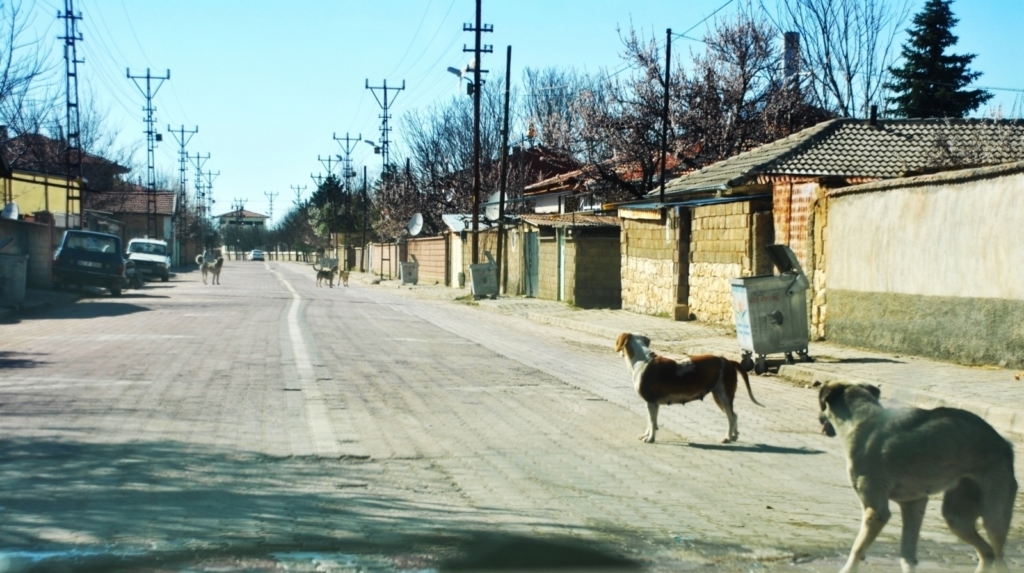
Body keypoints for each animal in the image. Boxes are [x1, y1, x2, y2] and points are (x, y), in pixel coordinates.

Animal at [614, 331, 761, 444]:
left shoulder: (651, 402)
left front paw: (650, 439)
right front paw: (646, 435)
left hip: (724, 396)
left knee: (731, 418)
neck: (642, 360)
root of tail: (729, 361)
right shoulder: (652, 404)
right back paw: (734, 436)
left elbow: (651, 422)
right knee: (734, 416)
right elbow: (651, 422)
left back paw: (727, 438)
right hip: (719, 397)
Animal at [815, 382, 1015, 573]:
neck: (861, 418)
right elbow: (907, 556)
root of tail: (1005, 444)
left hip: (993, 519)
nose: (818, 418)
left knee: (999, 557)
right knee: (987, 553)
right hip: (957, 518)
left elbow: (857, 548)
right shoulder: (913, 504)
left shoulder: (876, 511)